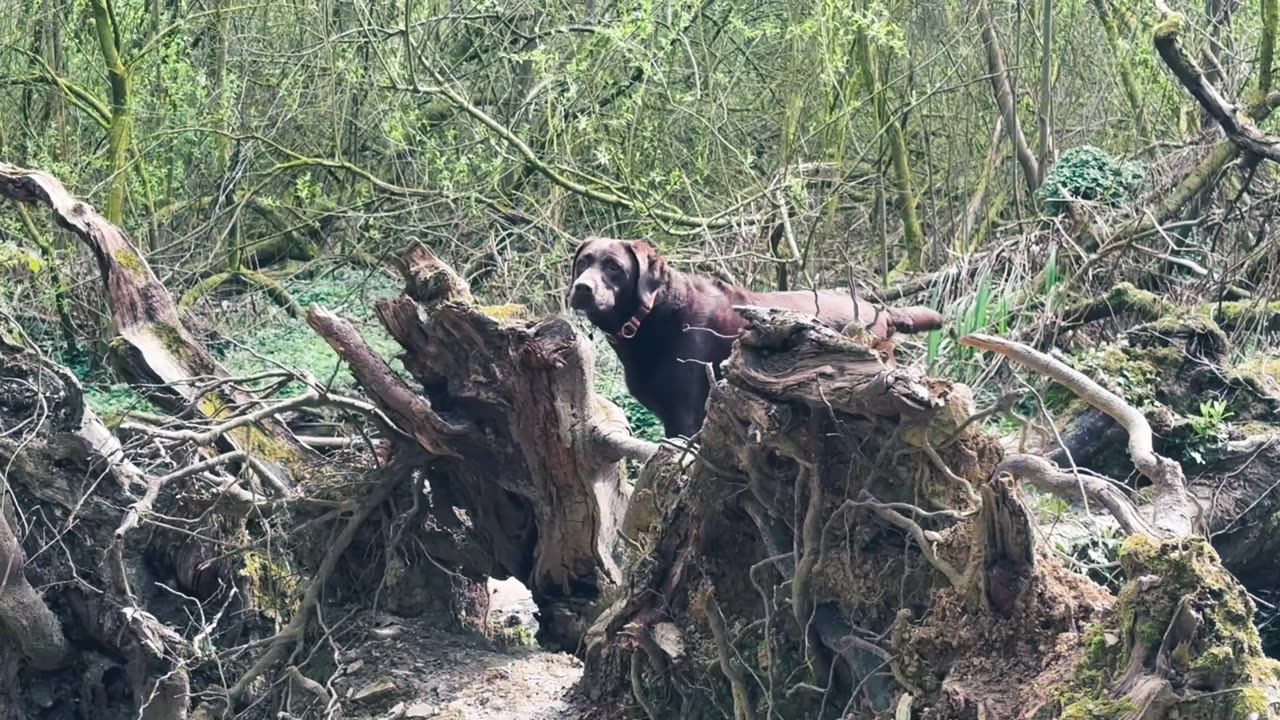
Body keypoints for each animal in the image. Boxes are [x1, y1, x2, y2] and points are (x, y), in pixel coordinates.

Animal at [570, 237, 942, 438]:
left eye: (614, 267)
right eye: (583, 262)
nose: (581, 289)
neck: (651, 314)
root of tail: (883, 311)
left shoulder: (686, 419)